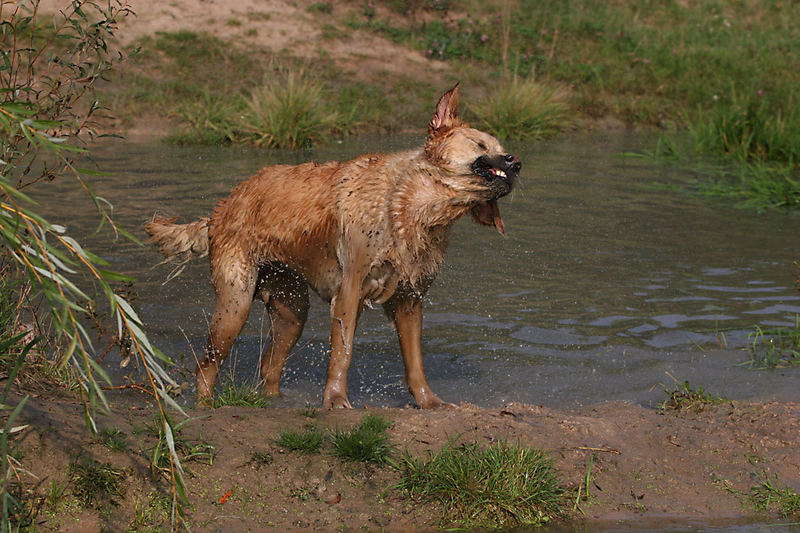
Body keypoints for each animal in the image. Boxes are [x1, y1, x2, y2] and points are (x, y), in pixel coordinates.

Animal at [145, 84, 520, 408]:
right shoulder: (350, 291)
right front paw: (337, 400)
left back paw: (276, 401)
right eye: (480, 145)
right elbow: (343, 353)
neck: (411, 204)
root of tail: (221, 209)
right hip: (234, 304)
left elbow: (416, 362)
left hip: (291, 310)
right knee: (206, 366)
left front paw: (429, 403)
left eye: (499, 147)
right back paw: (206, 404)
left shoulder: (409, 300)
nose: (515, 161)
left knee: (270, 366)